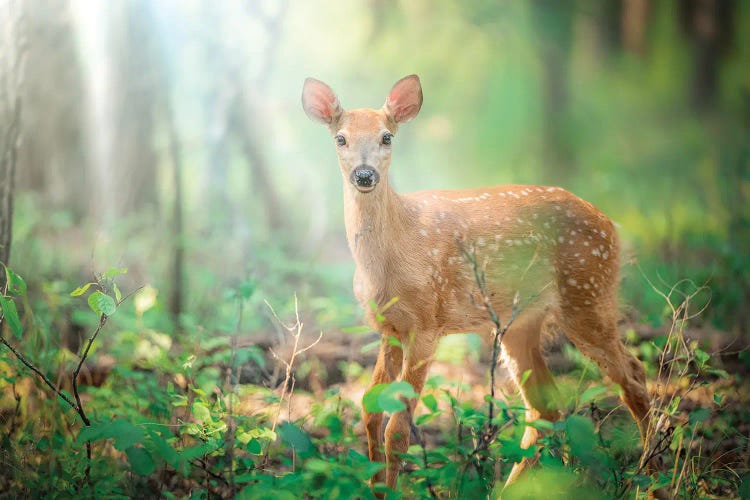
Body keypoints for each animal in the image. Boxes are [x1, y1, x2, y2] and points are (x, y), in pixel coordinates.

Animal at [302, 74, 656, 492]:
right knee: (546, 408)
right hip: (522, 324)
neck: (390, 255)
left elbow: (398, 428)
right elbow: (370, 409)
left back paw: (649, 477)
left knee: (634, 375)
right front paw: (375, 488)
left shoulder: (427, 323)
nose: (364, 175)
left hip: (588, 294)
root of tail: (613, 228)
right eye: (340, 138)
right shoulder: (389, 328)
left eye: (387, 137)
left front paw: (390, 490)